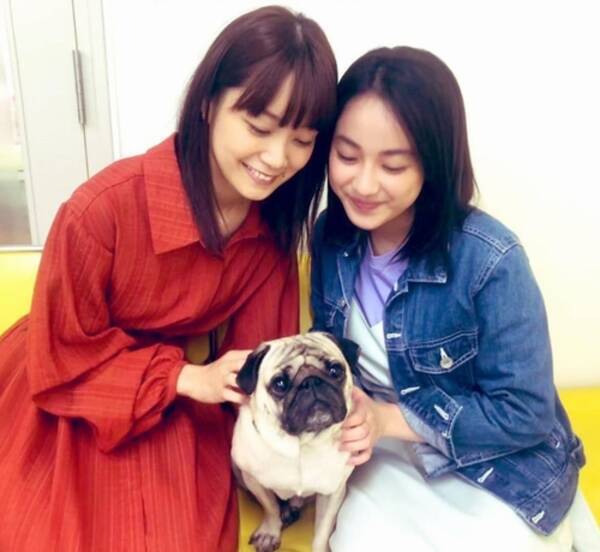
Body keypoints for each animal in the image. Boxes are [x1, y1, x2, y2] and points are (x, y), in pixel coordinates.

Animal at [231, 331, 359, 552]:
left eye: (335, 370)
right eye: (280, 384)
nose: (311, 382)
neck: (302, 445)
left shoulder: (333, 492)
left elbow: (322, 531)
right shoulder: (254, 481)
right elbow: (270, 507)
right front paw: (269, 533)